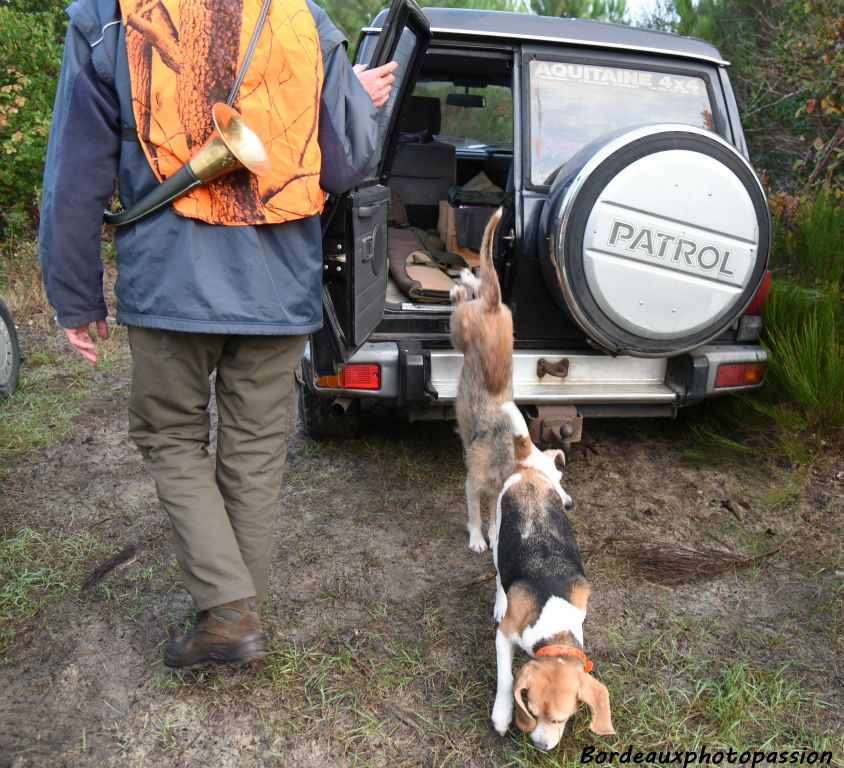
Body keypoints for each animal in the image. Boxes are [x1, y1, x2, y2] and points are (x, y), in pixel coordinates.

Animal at [488, 402, 612, 752]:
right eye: (531, 711)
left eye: (562, 718)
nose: (541, 746)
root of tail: (529, 472)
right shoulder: (505, 635)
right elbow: (505, 677)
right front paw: (502, 714)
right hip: (497, 538)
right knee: (499, 575)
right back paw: (499, 601)